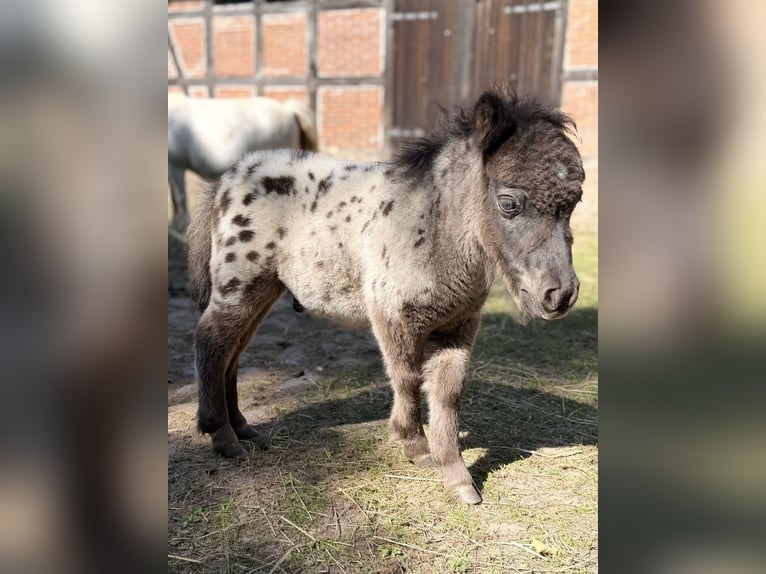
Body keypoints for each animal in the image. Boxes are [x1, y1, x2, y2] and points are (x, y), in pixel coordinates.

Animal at [186, 83, 585, 504]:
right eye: (508, 203)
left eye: (574, 203)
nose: (559, 295)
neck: (433, 231)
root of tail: (229, 178)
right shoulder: (394, 317)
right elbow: (406, 378)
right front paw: (415, 446)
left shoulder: (459, 325)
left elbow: (448, 393)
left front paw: (458, 478)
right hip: (239, 284)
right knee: (211, 343)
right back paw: (223, 437)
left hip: (263, 290)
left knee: (231, 354)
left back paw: (243, 428)